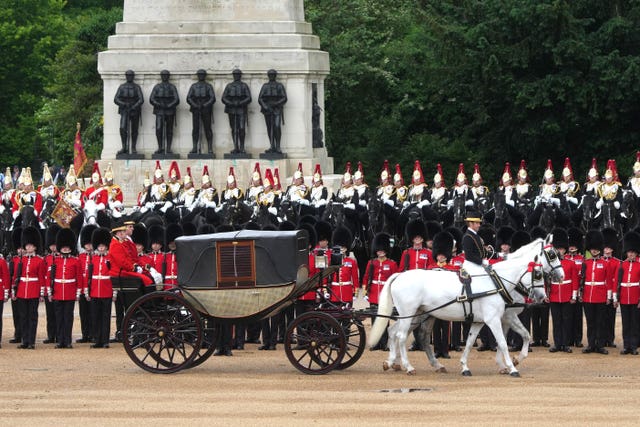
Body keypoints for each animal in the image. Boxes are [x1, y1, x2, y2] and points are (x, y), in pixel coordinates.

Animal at [368, 237, 564, 378]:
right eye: (552, 255)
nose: (542, 297)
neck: (498, 282)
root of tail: (400, 275)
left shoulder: (484, 320)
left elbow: (472, 342)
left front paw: (467, 367)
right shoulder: (498, 318)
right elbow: (503, 341)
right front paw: (511, 366)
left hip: (419, 315)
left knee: (400, 332)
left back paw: (397, 363)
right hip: (409, 313)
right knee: (401, 336)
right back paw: (408, 366)